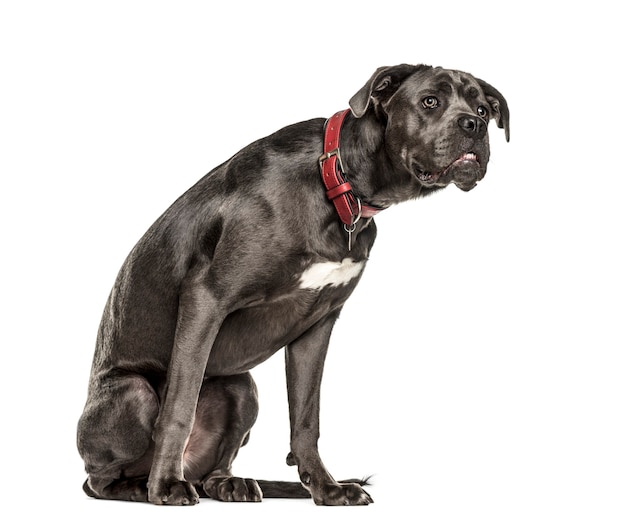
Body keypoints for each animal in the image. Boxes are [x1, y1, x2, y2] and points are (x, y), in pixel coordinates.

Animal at [77, 63, 508, 508]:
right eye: (430, 101)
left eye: (483, 108)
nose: (474, 125)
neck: (337, 181)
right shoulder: (205, 298)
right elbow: (178, 408)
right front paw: (165, 486)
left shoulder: (317, 326)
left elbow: (306, 419)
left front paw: (326, 488)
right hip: (133, 392)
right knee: (101, 478)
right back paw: (143, 486)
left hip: (242, 388)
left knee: (215, 467)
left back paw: (228, 484)